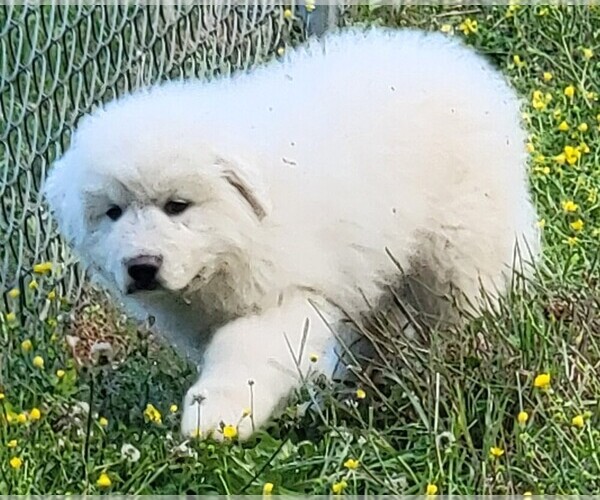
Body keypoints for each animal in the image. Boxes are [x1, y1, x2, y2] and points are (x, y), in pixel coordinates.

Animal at [43, 29, 540, 440]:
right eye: (112, 213)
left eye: (176, 206)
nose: (142, 267)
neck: (236, 238)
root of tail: (457, 60)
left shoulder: (292, 293)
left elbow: (245, 348)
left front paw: (216, 415)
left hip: (458, 246)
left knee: (464, 302)